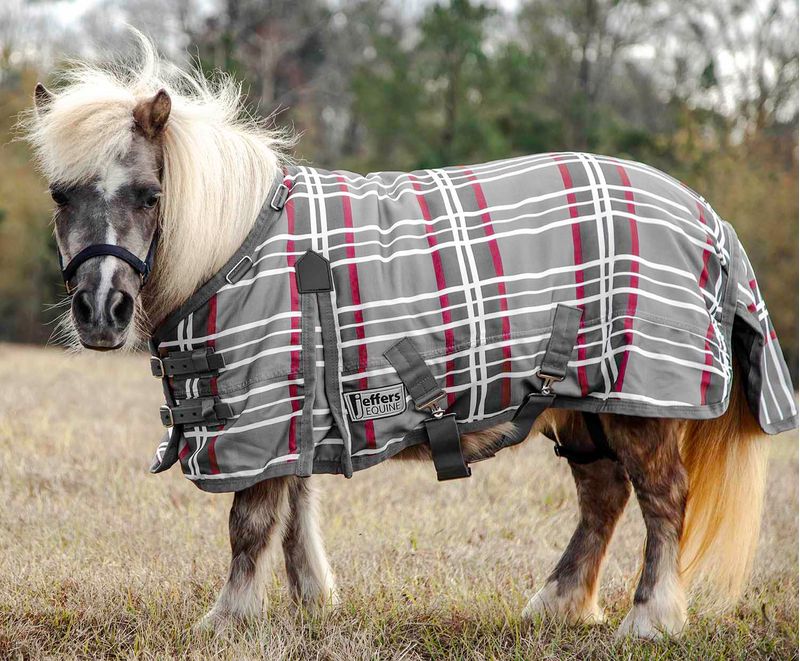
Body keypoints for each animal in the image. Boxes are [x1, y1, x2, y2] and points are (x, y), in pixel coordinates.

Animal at [22, 36, 793, 640]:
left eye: (149, 195)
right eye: (61, 194)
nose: (100, 309)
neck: (239, 244)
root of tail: (707, 218)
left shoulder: (261, 412)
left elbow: (252, 520)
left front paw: (229, 617)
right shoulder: (297, 410)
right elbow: (296, 512)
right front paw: (311, 602)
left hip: (637, 401)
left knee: (662, 500)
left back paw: (651, 616)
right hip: (584, 403)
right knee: (603, 497)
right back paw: (557, 603)